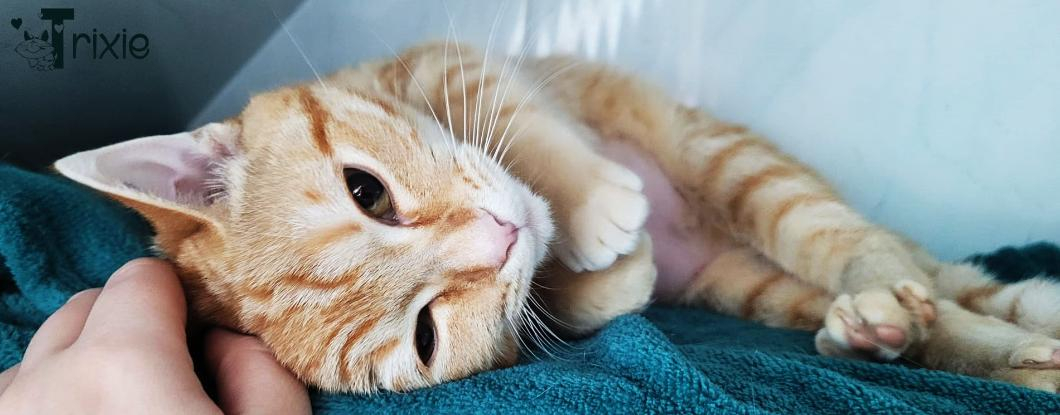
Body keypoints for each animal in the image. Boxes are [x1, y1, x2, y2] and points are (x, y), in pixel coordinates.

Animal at [55, 42, 1060, 393]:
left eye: (366, 190)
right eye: (426, 333)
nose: (500, 238)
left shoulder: (450, 60)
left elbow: (519, 120)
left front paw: (594, 204)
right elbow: (578, 302)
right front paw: (608, 271)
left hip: (740, 168)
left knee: (876, 250)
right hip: (750, 284)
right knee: (934, 307)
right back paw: (917, 337)